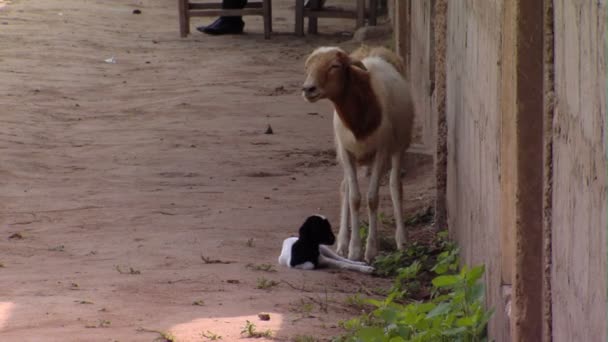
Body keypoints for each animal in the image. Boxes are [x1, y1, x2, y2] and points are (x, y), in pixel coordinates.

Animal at [302, 46, 416, 262]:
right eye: (309, 66)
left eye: (335, 66)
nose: (308, 89)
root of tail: (374, 51)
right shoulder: (346, 152)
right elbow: (354, 198)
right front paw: (353, 250)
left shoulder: (382, 151)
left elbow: (372, 198)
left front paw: (370, 250)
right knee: (345, 187)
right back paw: (342, 243)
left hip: (399, 147)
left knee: (395, 186)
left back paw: (402, 241)